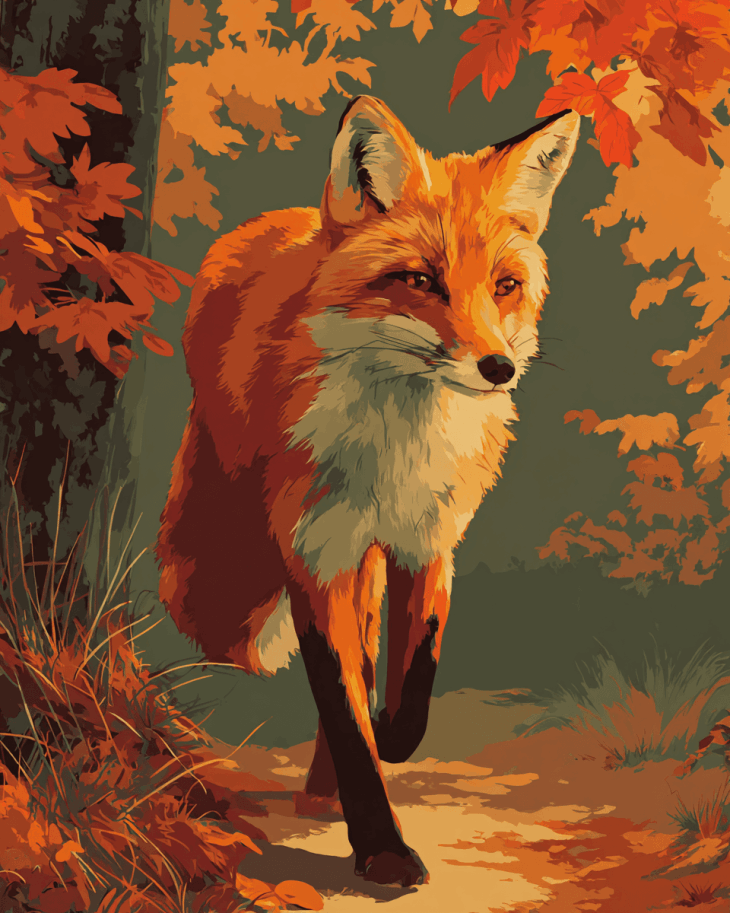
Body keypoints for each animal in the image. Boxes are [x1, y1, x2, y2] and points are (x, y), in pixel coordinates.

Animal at [157, 95, 579, 888]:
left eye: (504, 286)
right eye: (420, 281)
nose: (499, 368)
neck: (397, 454)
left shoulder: (428, 542)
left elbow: (414, 676)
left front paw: (393, 737)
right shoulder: (313, 554)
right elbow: (343, 707)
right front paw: (382, 848)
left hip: (369, 563)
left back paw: (325, 789)